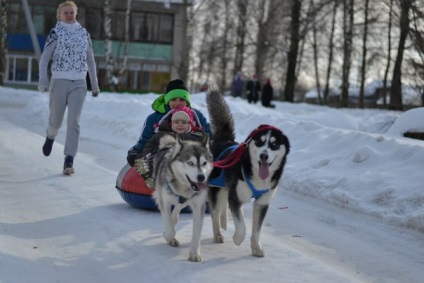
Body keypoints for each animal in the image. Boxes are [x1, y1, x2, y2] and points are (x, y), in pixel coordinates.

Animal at [152, 134, 212, 262]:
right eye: (190, 163)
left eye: (204, 163)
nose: (201, 177)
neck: (184, 187)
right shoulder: (164, 202)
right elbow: (170, 230)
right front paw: (168, 236)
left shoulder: (198, 207)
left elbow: (196, 233)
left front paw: (194, 253)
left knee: (178, 207)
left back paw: (175, 217)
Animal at [207, 90, 290, 258]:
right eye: (259, 142)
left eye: (274, 144)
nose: (264, 156)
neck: (258, 178)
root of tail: (223, 141)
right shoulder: (236, 198)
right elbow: (242, 227)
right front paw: (238, 239)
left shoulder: (262, 203)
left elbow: (257, 230)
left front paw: (256, 247)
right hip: (217, 190)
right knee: (215, 213)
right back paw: (218, 234)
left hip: (225, 188)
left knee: (221, 209)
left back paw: (223, 222)